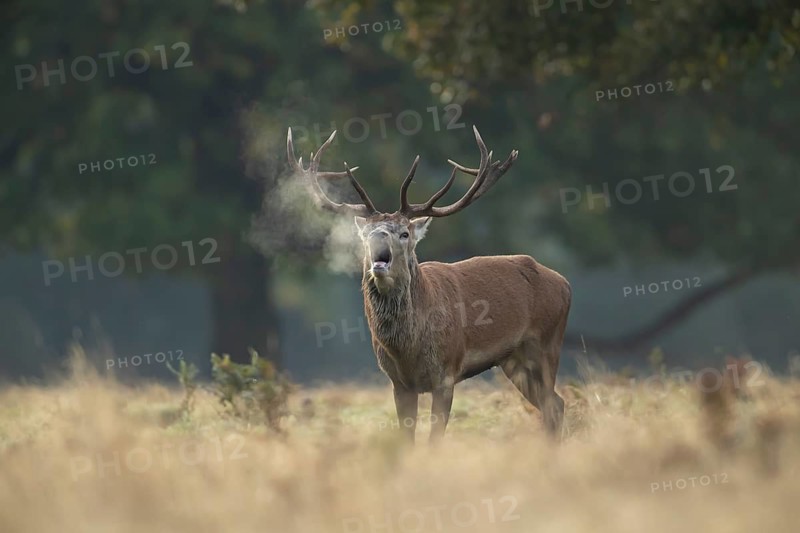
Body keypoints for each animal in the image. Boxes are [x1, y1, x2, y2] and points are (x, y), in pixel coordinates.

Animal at [286, 126, 572, 443]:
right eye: (366, 233)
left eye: (404, 233)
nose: (379, 238)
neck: (408, 350)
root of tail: (565, 283)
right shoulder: (398, 383)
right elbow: (406, 438)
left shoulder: (446, 373)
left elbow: (435, 437)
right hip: (514, 361)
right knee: (554, 404)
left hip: (547, 345)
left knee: (553, 403)